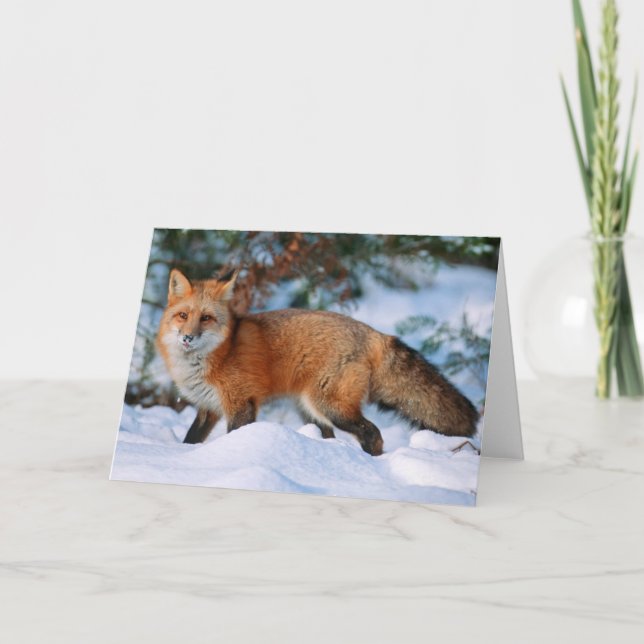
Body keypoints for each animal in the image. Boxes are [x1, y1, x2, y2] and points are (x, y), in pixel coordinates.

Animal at [156, 268, 479, 456]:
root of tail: (372, 332)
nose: (188, 338)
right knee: (332, 436)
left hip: (330, 406)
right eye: (183, 316)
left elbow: (235, 436)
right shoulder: (208, 408)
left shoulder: (241, 404)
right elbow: (190, 440)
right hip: (310, 410)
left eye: (206, 318)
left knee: (373, 434)